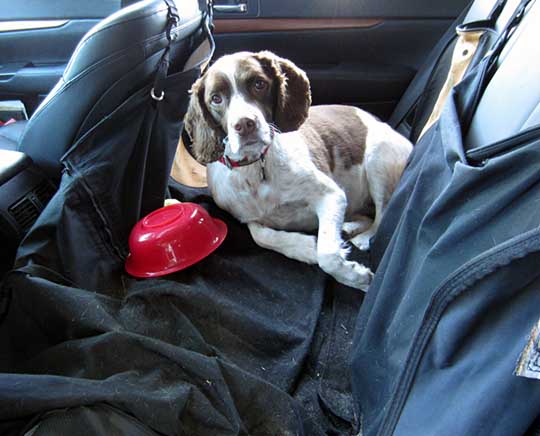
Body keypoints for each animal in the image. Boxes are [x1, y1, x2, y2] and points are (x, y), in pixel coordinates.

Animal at [184, 51, 412, 290]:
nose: (245, 124)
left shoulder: (331, 194)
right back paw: (348, 228)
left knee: (382, 214)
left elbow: (327, 255)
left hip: (378, 158)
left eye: (259, 84)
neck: (257, 168)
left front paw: (355, 277)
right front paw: (305, 248)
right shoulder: (246, 216)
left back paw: (364, 237)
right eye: (216, 98)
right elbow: (260, 236)